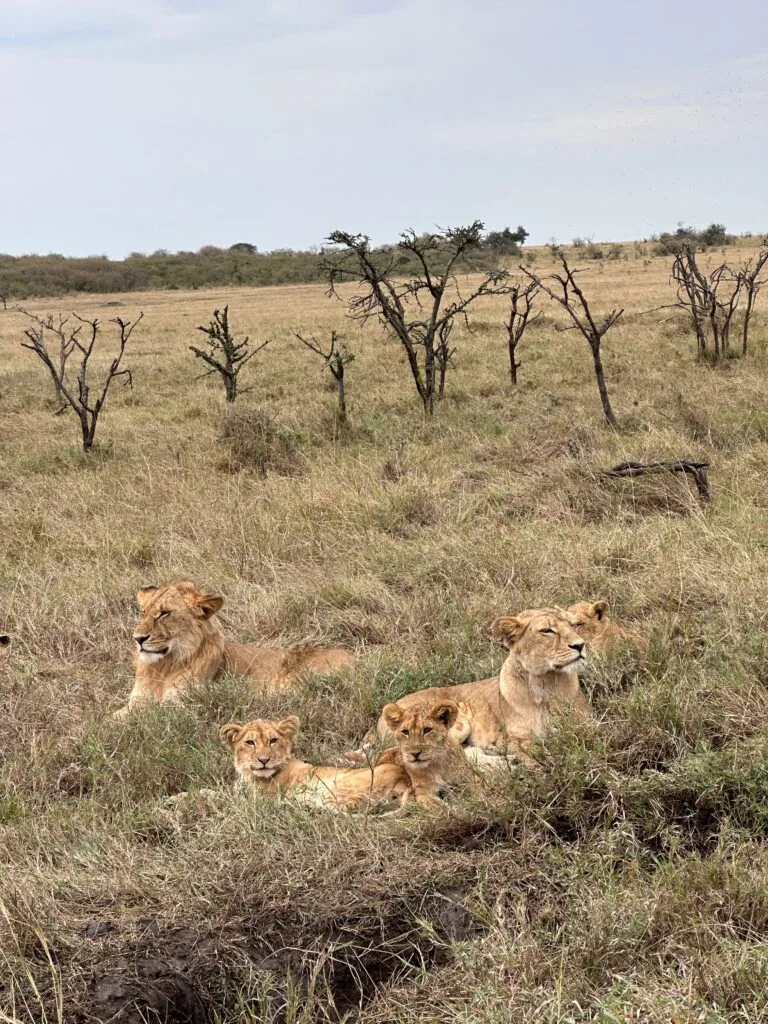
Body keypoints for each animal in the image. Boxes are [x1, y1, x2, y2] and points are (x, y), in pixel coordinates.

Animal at [119, 579, 354, 716]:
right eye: (143, 612)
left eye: (164, 613)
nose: (137, 639)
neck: (162, 667)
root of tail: (357, 658)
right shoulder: (136, 702)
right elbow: (115, 717)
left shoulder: (181, 704)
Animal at [219, 716, 413, 812]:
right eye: (250, 743)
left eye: (273, 741)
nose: (264, 760)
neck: (248, 775)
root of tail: (405, 780)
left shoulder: (260, 798)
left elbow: (226, 799)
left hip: (335, 788)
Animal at [371, 607, 589, 763]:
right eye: (547, 631)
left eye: (574, 625)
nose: (580, 645)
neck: (545, 684)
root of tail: (378, 721)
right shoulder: (511, 737)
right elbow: (532, 746)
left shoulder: (586, 726)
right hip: (457, 719)